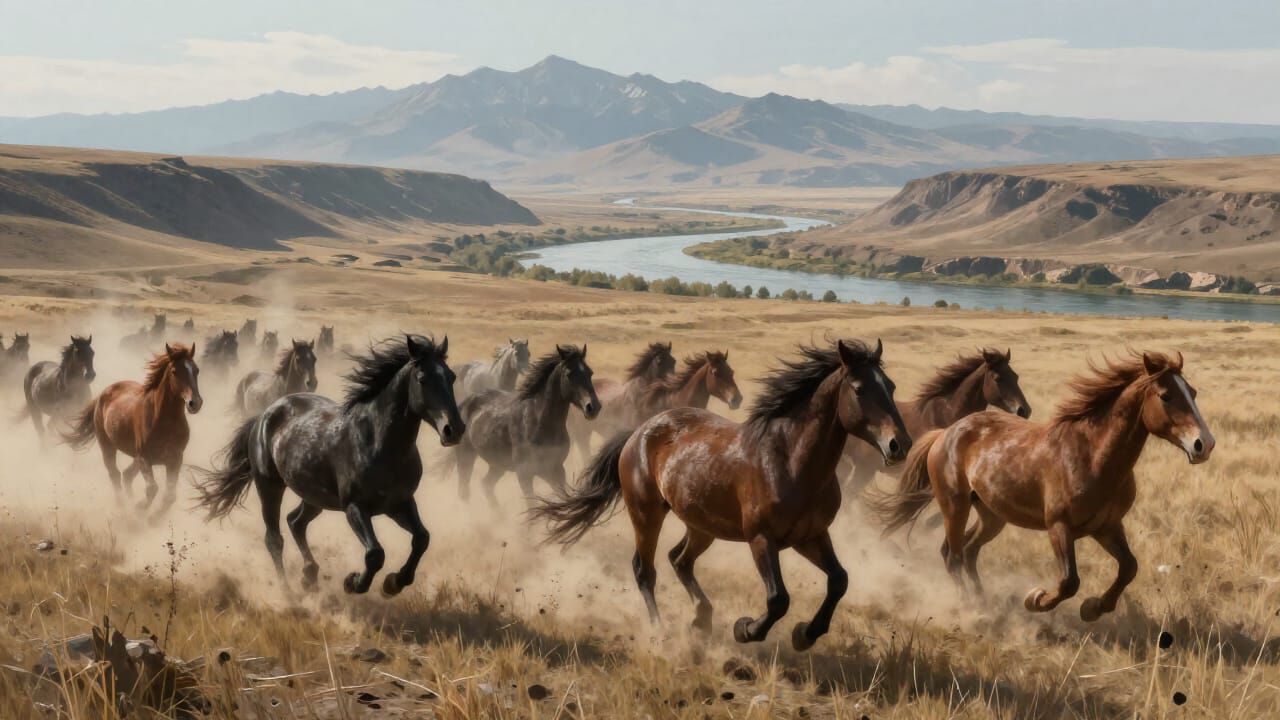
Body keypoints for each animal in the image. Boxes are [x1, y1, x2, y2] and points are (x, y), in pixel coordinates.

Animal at [62, 344, 202, 514]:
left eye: (196, 370)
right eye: (175, 371)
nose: (195, 403)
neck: (165, 422)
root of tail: (102, 394)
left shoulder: (175, 459)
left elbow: (170, 495)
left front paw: (153, 516)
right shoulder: (144, 458)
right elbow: (152, 488)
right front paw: (139, 509)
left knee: (126, 475)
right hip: (107, 446)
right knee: (115, 474)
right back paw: (123, 507)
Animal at [196, 335, 463, 596]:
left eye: (451, 377)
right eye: (422, 379)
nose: (455, 430)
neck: (379, 443)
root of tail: (264, 414)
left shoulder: (400, 503)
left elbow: (422, 538)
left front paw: (394, 583)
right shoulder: (355, 507)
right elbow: (375, 554)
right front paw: (354, 583)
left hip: (314, 496)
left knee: (296, 522)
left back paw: (309, 575)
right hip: (269, 486)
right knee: (274, 539)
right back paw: (287, 592)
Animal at [453, 345, 600, 506]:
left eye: (590, 372)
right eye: (569, 374)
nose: (593, 407)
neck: (538, 422)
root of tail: (467, 402)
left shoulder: (556, 470)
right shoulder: (525, 474)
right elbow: (532, 506)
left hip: (498, 464)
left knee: (486, 484)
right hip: (466, 456)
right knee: (463, 490)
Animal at [534, 340, 911, 651]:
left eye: (891, 386)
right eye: (860, 389)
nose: (900, 444)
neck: (791, 461)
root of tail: (639, 431)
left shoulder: (811, 536)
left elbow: (839, 581)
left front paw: (805, 634)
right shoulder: (761, 539)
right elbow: (778, 599)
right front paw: (746, 629)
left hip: (702, 526)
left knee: (679, 560)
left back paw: (701, 619)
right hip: (646, 514)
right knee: (645, 569)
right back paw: (660, 630)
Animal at [872, 351, 1214, 622]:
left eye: (1193, 392)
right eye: (1166, 396)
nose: (1204, 444)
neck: (1093, 456)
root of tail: (944, 433)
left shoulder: (1107, 527)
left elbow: (1129, 567)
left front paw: (1094, 608)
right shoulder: (1059, 527)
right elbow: (1069, 581)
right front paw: (1035, 599)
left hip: (992, 515)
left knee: (966, 551)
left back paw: (984, 600)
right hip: (955, 507)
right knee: (953, 556)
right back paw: (974, 609)